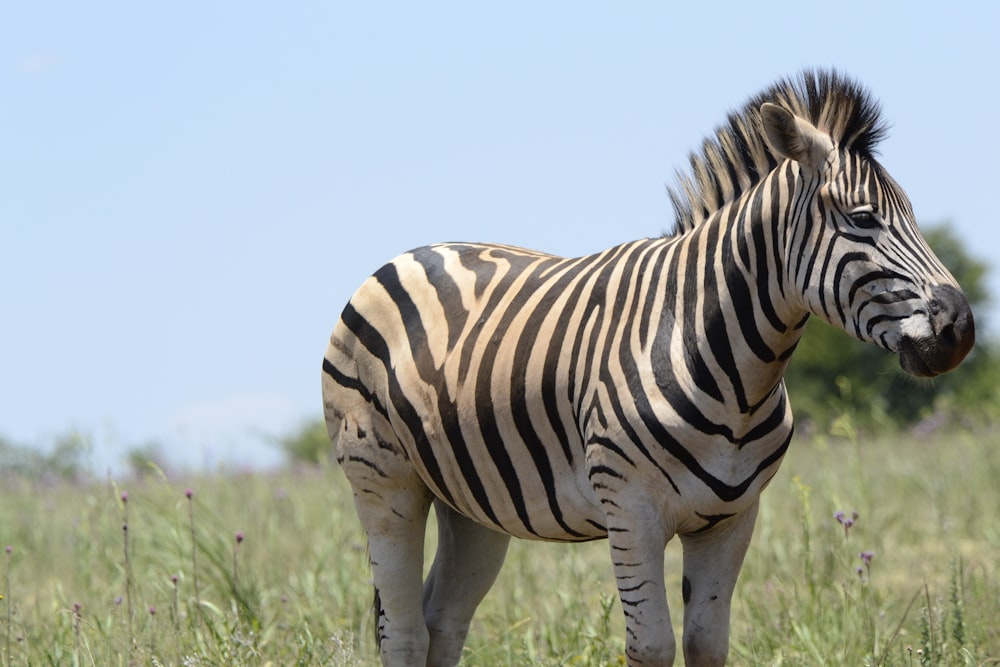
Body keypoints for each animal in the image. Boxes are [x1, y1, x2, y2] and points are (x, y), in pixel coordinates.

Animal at [322, 70, 976, 664]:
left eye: (913, 214)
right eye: (863, 218)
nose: (961, 331)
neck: (732, 371)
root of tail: (412, 254)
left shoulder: (732, 519)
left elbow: (707, 643)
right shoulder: (631, 510)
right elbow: (653, 646)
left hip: (473, 501)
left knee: (444, 620)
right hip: (384, 482)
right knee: (403, 631)